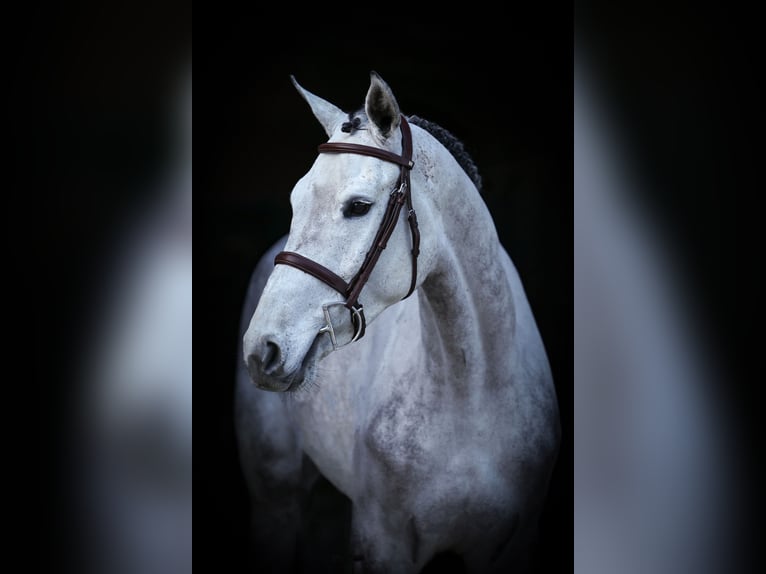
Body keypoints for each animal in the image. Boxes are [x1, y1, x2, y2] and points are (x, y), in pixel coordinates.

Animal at [236, 72, 560, 573]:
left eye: (358, 206)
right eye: (295, 201)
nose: (262, 349)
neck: (473, 398)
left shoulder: (513, 545)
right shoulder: (382, 544)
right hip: (276, 500)